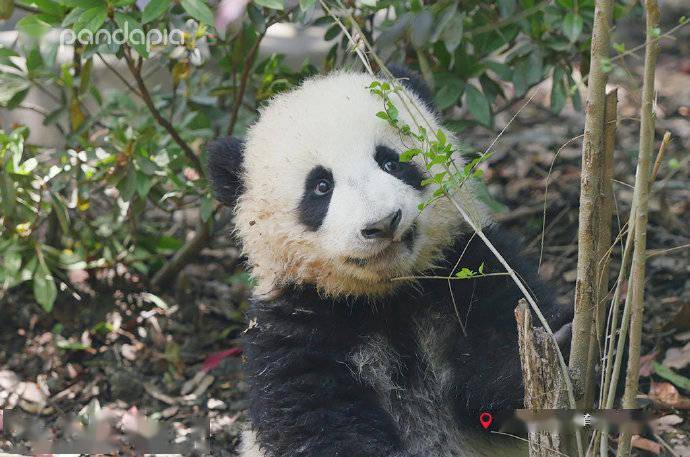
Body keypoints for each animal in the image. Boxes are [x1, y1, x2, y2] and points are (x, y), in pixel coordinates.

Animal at [208, 67, 568, 456]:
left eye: (392, 162)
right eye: (321, 186)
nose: (382, 223)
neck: (388, 295)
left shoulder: (469, 266)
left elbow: (502, 348)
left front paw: (558, 349)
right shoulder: (296, 323)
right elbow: (316, 416)